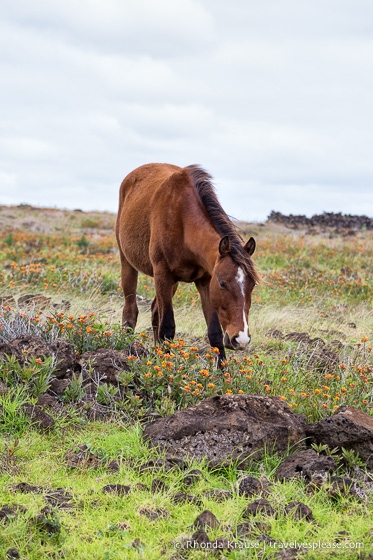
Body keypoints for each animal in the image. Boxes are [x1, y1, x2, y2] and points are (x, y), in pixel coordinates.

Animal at [115, 162, 258, 364]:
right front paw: (165, 367)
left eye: (252, 285)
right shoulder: (163, 274)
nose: (241, 339)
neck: (182, 220)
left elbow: (214, 333)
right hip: (129, 264)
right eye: (223, 283)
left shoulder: (205, 282)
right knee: (130, 312)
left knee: (155, 311)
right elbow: (167, 328)